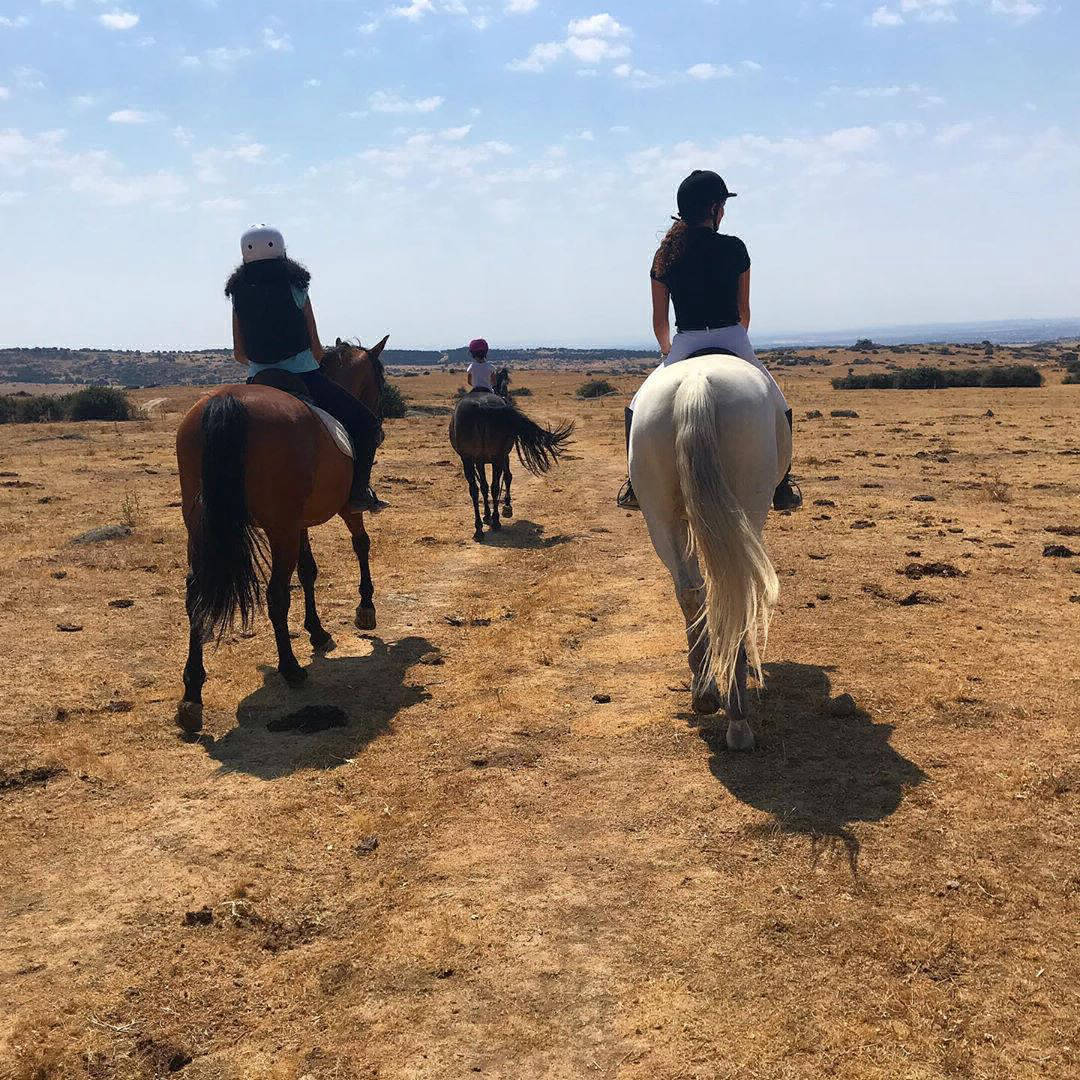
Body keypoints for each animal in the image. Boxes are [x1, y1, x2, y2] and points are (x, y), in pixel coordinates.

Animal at [174, 336, 389, 734]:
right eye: (379, 381)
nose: (380, 427)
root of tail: (225, 403)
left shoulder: (297, 523)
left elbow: (308, 571)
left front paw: (317, 631)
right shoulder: (342, 508)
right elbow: (360, 544)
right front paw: (365, 607)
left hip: (202, 527)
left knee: (196, 594)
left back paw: (192, 695)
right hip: (279, 528)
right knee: (275, 594)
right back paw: (290, 668)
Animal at [449, 388, 573, 542]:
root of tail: (482, 405)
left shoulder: (484, 460)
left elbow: (491, 484)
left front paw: (492, 513)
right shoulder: (486, 460)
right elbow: (496, 482)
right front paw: (497, 511)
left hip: (480, 459)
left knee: (483, 488)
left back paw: (485, 526)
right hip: (487, 458)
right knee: (488, 487)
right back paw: (488, 525)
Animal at [629, 350, 788, 751]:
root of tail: (696, 383)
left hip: (658, 514)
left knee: (691, 590)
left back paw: (704, 693)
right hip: (748, 504)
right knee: (739, 591)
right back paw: (738, 717)